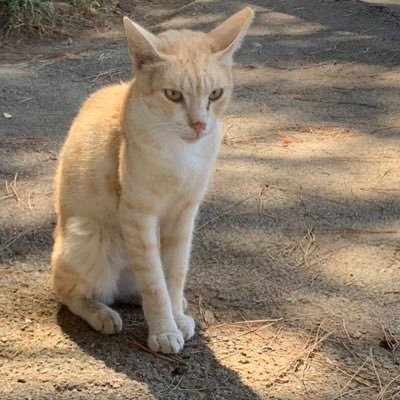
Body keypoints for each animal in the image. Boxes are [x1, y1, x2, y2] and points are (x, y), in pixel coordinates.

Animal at [51, 7, 255, 354]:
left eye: (215, 94)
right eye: (173, 95)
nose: (200, 124)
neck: (181, 153)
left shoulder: (184, 215)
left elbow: (173, 274)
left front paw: (174, 317)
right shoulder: (138, 214)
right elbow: (154, 281)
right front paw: (163, 330)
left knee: (126, 290)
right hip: (87, 236)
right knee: (70, 292)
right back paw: (102, 314)